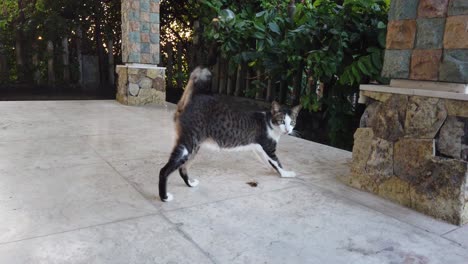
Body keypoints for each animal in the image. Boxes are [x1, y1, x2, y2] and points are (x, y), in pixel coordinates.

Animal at [159, 67, 302, 201]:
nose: (288, 130)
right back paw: (164, 197)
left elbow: (267, 161)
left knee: (182, 168)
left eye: (292, 122)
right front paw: (286, 174)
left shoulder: (259, 148)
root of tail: (191, 100)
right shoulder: (269, 148)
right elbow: (277, 162)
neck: (269, 122)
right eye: (282, 121)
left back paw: (190, 184)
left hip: (194, 146)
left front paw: (272, 170)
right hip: (187, 145)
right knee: (164, 170)